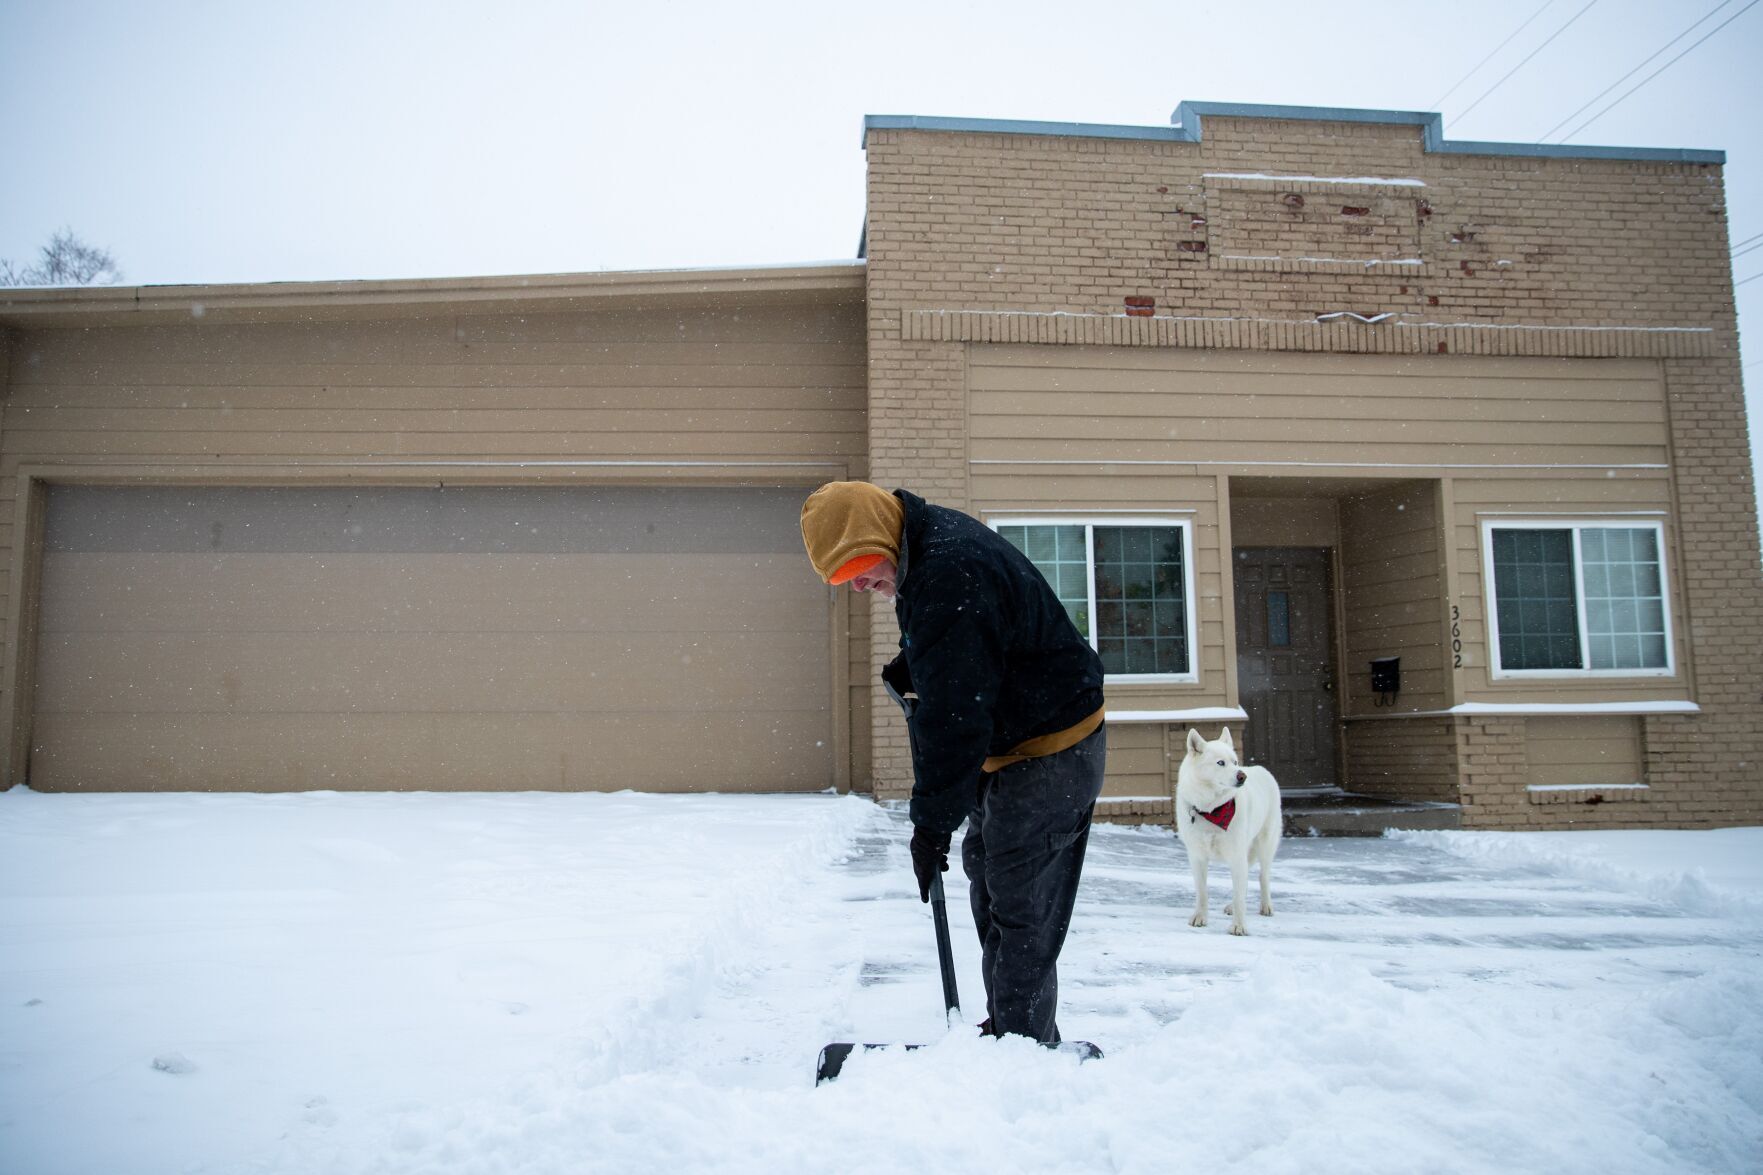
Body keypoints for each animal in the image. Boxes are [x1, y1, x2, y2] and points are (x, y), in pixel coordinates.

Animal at [1184, 723, 1283, 931]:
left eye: (1235, 762)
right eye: (1220, 763)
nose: (1242, 776)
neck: (1211, 810)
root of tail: (1262, 769)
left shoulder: (1236, 855)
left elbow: (1239, 896)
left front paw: (1239, 926)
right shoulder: (1197, 856)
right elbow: (1202, 891)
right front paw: (1200, 917)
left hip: (1265, 845)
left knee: (1263, 876)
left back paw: (1266, 906)